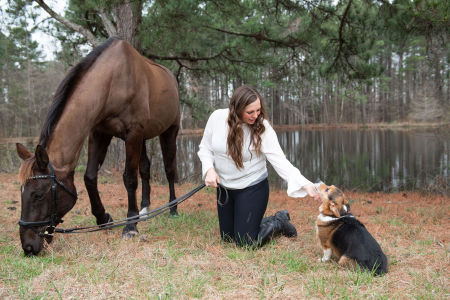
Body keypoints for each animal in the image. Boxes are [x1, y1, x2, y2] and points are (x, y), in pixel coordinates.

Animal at [16, 35, 181, 255]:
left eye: (38, 195)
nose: (28, 246)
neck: (112, 82)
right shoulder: (99, 133)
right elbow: (90, 177)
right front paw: (104, 218)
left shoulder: (133, 133)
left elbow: (130, 179)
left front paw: (130, 226)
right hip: (144, 137)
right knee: (145, 168)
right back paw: (145, 209)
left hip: (169, 131)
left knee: (170, 170)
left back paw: (173, 208)